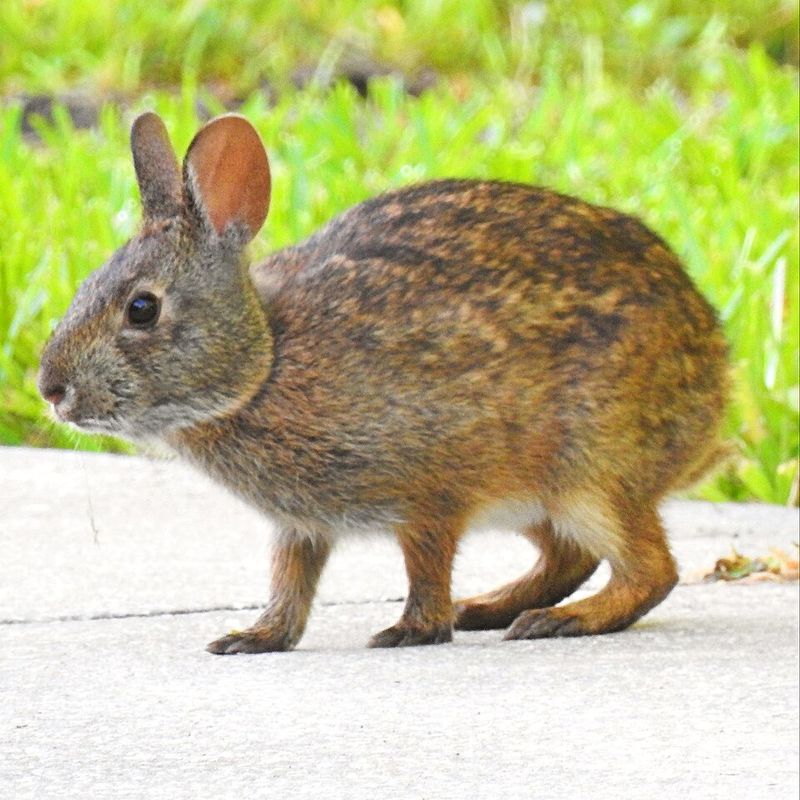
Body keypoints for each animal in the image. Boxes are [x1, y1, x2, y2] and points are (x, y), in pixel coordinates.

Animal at [38, 112, 729, 654]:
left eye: (141, 309)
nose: (51, 389)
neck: (263, 366)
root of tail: (714, 377)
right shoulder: (301, 524)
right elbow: (291, 579)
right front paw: (256, 637)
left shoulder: (430, 488)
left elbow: (424, 563)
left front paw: (412, 630)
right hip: (541, 494)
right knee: (572, 556)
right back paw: (489, 609)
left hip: (590, 471)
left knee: (650, 571)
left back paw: (556, 621)